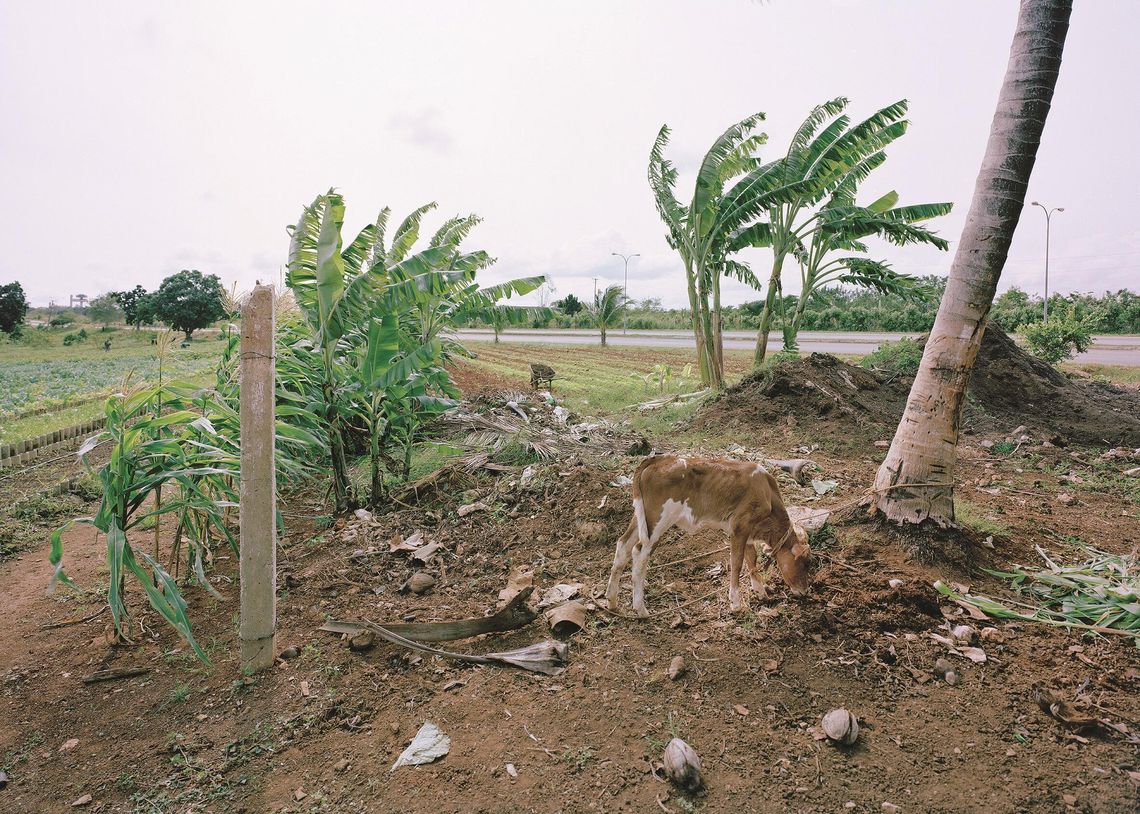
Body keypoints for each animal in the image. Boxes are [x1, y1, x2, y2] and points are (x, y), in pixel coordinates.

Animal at [606, 449, 811, 615]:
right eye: (804, 563)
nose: (805, 591)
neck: (767, 493)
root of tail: (660, 459)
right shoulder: (739, 527)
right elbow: (737, 564)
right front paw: (736, 604)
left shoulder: (748, 532)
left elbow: (751, 560)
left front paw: (760, 592)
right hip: (658, 520)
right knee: (639, 553)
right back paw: (640, 609)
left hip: (641, 516)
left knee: (623, 545)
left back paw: (612, 602)